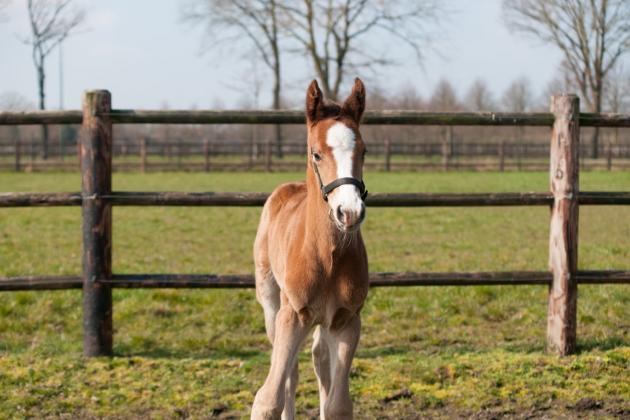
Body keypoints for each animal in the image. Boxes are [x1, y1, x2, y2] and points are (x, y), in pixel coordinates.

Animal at [252, 78, 370, 416]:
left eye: (364, 151)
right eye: (316, 154)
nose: (349, 212)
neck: (326, 257)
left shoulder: (346, 320)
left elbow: (338, 405)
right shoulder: (292, 316)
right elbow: (268, 399)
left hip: (323, 321)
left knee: (319, 360)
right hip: (271, 301)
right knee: (290, 371)